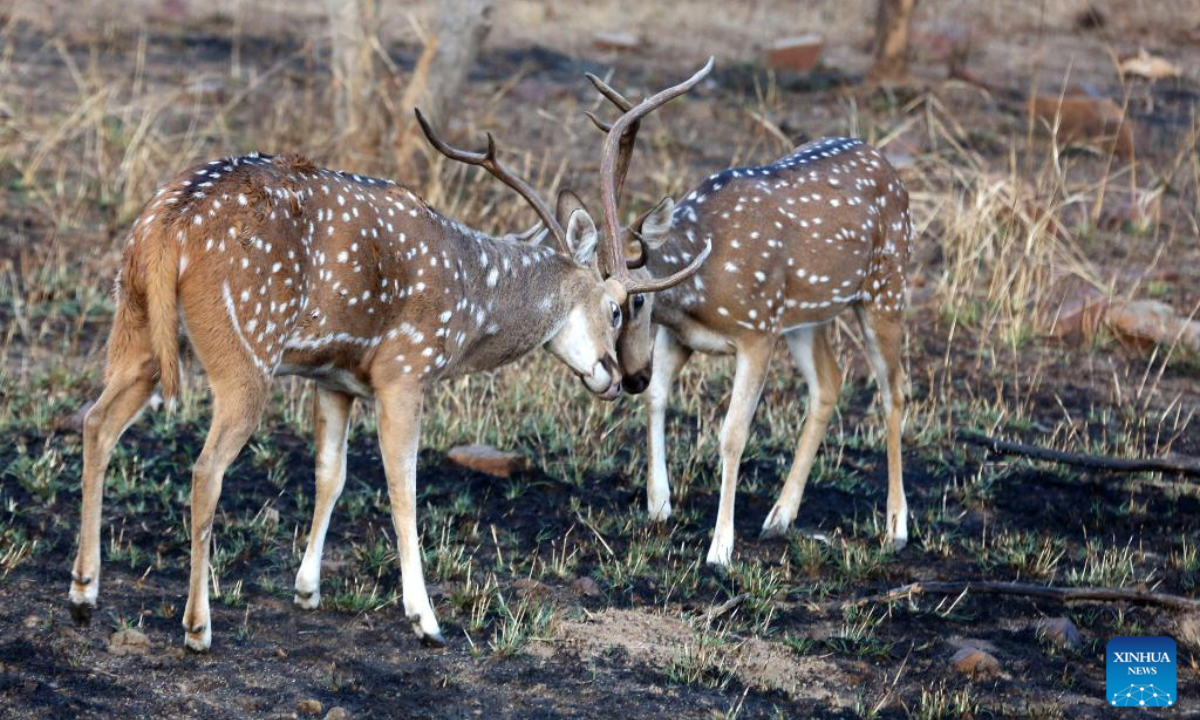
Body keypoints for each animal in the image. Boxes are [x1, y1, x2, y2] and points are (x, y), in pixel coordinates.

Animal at [68, 67, 710, 652]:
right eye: (619, 307)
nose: (620, 377)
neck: (470, 302)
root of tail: (166, 228)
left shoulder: (335, 378)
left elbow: (331, 476)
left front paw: (307, 589)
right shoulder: (405, 369)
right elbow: (403, 486)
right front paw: (425, 619)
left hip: (136, 332)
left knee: (97, 423)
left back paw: (83, 592)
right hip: (244, 352)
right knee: (204, 470)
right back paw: (197, 627)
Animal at [585, 71, 912, 568]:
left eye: (636, 303)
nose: (632, 376)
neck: (698, 290)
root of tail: (892, 172)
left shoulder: (757, 332)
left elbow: (733, 434)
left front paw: (720, 549)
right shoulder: (682, 336)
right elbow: (659, 399)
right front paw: (659, 505)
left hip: (885, 289)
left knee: (895, 389)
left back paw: (896, 528)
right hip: (804, 318)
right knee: (829, 382)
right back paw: (780, 516)